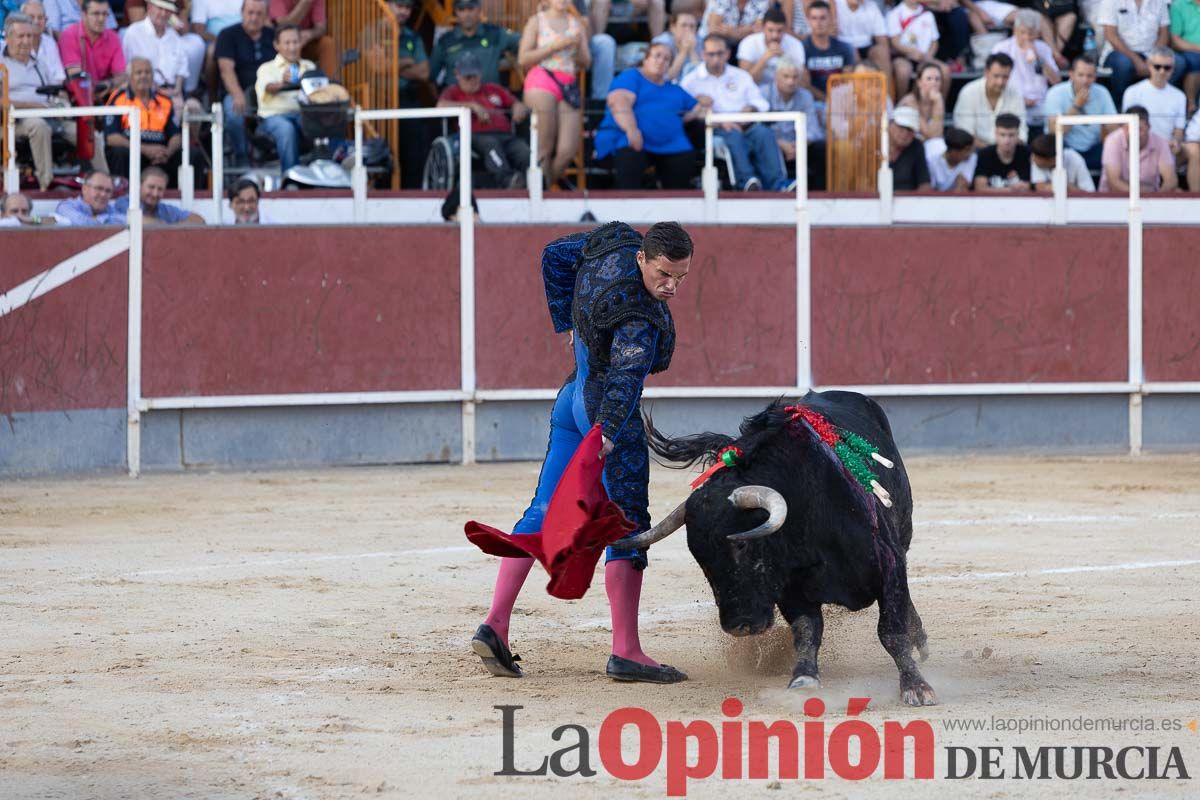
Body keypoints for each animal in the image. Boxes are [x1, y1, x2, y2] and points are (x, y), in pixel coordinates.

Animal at [619, 391, 936, 705]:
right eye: (700, 557)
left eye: (742, 544)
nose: (739, 626)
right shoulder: (790, 590)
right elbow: (807, 630)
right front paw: (803, 679)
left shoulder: (889, 563)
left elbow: (891, 630)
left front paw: (916, 687)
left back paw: (919, 639)